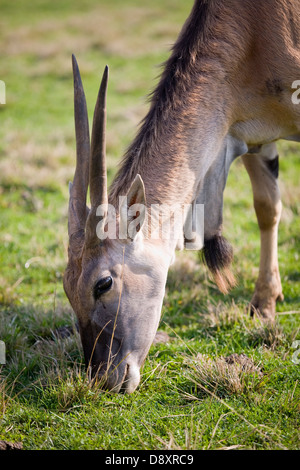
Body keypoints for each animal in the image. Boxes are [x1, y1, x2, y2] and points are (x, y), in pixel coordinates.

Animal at [63, 0, 300, 392]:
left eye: (103, 283)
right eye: (68, 287)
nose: (104, 379)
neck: (253, 29)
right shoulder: (253, 135)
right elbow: (267, 207)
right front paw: (265, 303)